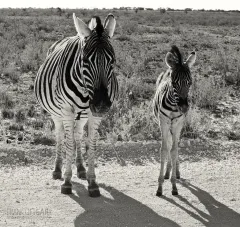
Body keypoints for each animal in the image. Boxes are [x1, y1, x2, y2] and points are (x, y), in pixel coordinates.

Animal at [34, 13, 118, 197]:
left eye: (113, 60)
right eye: (85, 59)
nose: (102, 104)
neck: (86, 91)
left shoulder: (93, 114)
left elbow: (90, 143)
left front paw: (92, 182)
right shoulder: (66, 110)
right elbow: (69, 143)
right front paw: (66, 182)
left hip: (83, 115)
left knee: (78, 134)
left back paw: (80, 168)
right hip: (56, 113)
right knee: (60, 135)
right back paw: (57, 170)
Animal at [153, 45, 196, 196]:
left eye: (190, 82)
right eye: (173, 83)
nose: (184, 108)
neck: (173, 105)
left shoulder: (177, 124)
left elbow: (174, 150)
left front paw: (174, 185)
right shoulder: (163, 122)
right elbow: (164, 150)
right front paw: (160, 186)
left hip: (178, 125)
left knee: (175, 145)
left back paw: (175, 172)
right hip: (167, 125)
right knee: (170, 144)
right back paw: (167, 172)